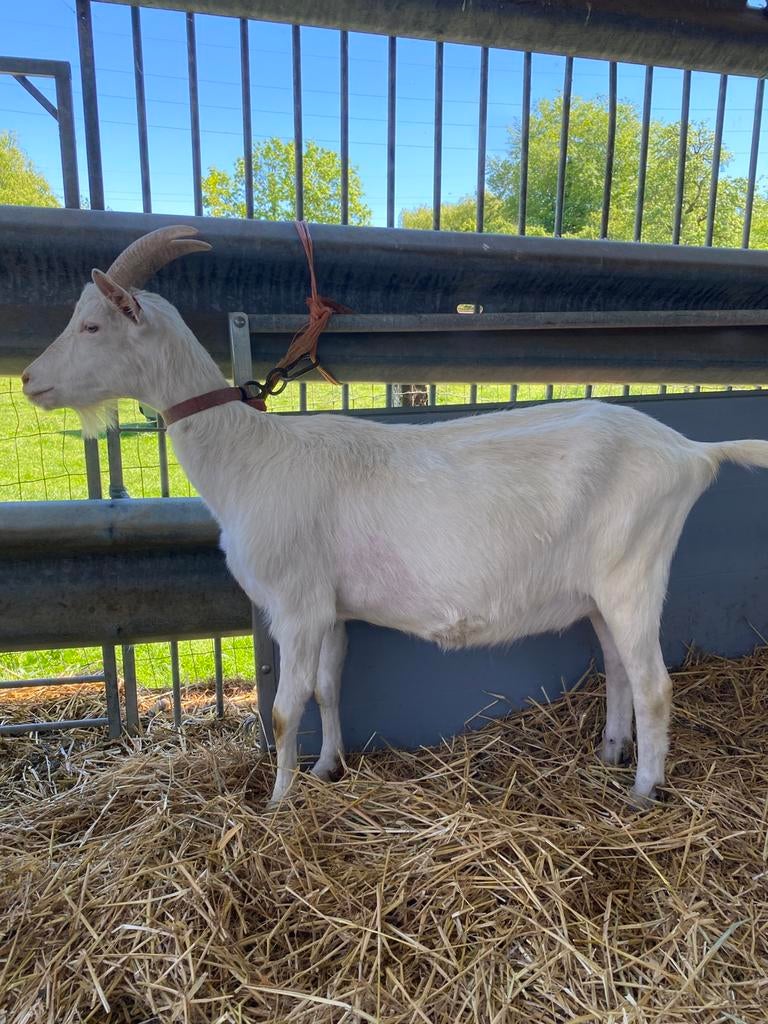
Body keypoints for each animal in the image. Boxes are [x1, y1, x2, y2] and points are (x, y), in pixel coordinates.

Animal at [22, 225, 768, 807]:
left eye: (92, 324)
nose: (29, 381)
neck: (250, 456)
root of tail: (691, 452)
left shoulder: (294, 603)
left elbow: (287, 709)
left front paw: (278, 802)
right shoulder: (330, 607)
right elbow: (328, 690)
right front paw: (328, 768)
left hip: (633, 572)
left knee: (654, 683)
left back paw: (642, 791)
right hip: (603, 588)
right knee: (617, 666)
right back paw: (610, 754)